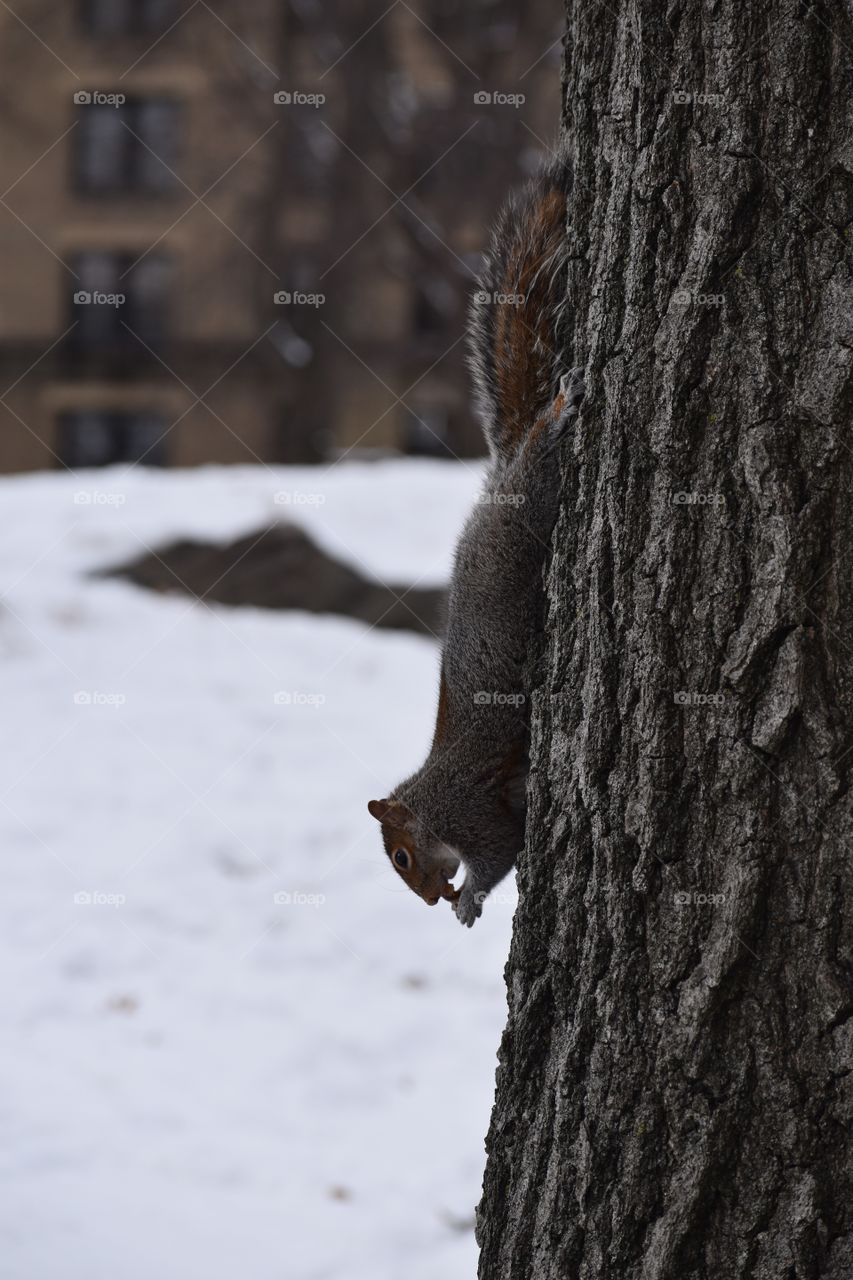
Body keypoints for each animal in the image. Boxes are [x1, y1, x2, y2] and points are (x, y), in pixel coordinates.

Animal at [368, 146, 584, 927]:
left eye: (401, 859)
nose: (431, 898)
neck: (431, 800)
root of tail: (499, 479)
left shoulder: (475, 815)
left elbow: (501, 854)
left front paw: (470, 900)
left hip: (531, 513)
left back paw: (557, 416)